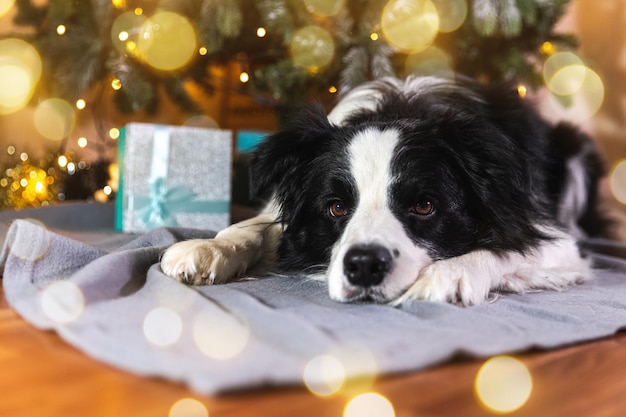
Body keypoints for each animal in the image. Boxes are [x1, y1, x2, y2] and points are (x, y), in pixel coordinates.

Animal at [158, 75, 608, 306]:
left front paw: (447, 276)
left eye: (424, 206)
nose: (364, 266)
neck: (401, 110)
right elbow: (256, 226)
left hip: (576, 149)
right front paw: (209, 248)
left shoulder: (553, 237)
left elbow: (505, 248)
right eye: (337, 207)